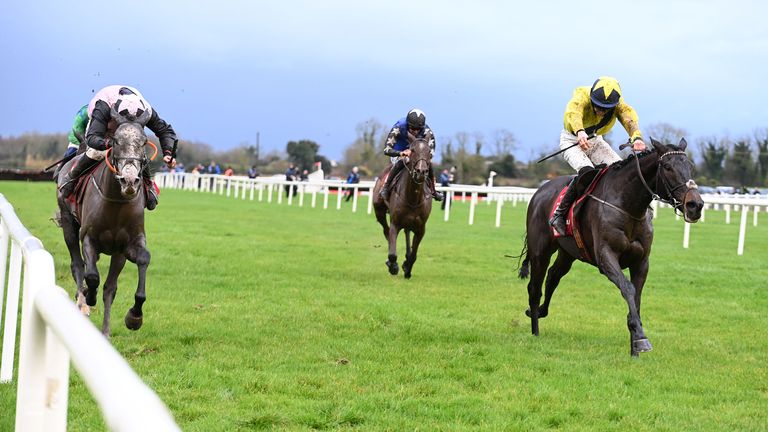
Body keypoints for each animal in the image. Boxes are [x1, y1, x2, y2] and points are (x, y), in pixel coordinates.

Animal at [57, 121, 158, 338]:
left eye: (144, 142)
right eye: (116, 141)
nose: (130, 180)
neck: (116, 203)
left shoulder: (126, 246)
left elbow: (138, 264)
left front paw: (134, 317)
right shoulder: (89, 239)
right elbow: (92, 276)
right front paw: (88, 296)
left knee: (107, 285)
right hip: (68, 224)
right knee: (78, 265)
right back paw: (83, 302)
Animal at [372, 139, 432, 280]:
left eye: (429, 151)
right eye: (413, 150)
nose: (421, 171)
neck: (413, 198)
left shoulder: (421, 228)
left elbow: (414, 254)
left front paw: (407, 267)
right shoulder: (395, 222)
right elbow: (392, 253)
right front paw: (393, 266)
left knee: (406, 232)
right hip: (379, 211)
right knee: (386, 231)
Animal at [516, 139, 704, 358]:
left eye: (690, 166)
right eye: (667, 167)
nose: (695, 205)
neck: (628, 206)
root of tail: (539, 191)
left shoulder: (641, 262)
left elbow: (636, 299)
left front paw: (635, 347)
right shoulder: (606, 257)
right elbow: (628, 289)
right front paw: (641, 338)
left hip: (568, 252)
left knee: (554, 276)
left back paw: (540, 311)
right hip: (540, 250)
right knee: (534, 288)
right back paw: (535, 329)